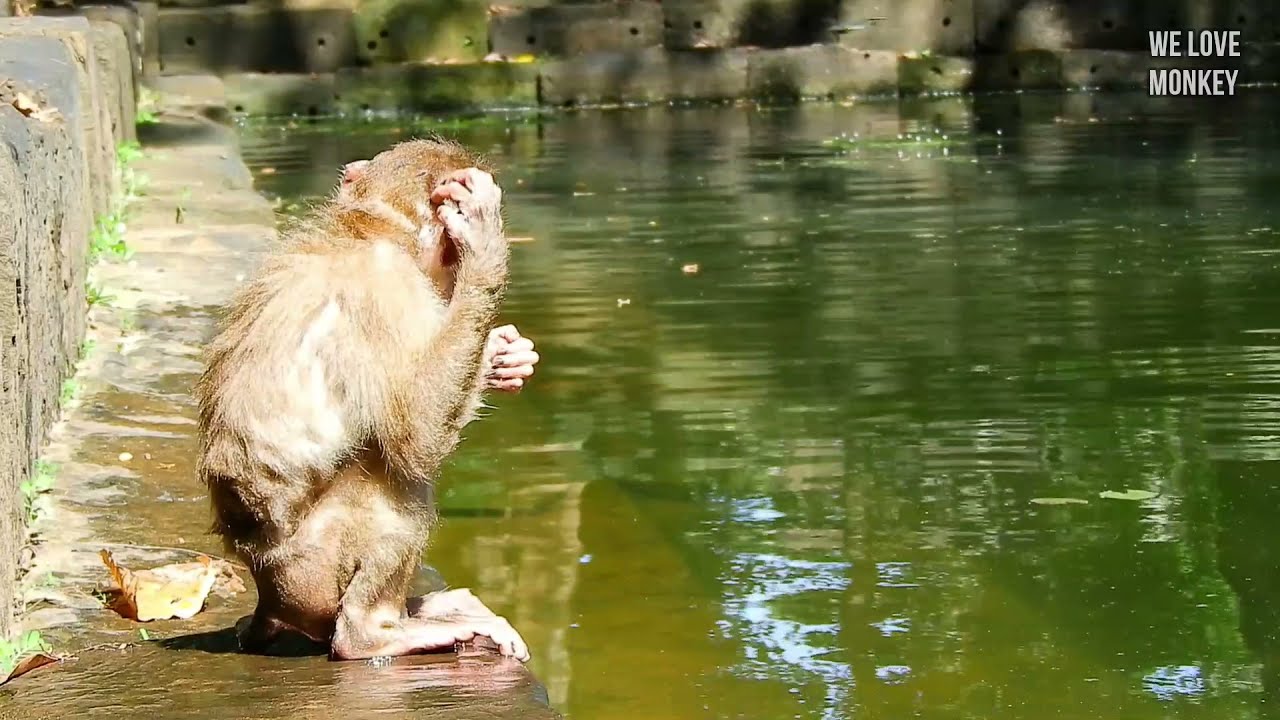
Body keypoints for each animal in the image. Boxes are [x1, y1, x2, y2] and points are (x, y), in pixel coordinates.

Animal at [194, 137, 538, 662]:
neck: (371, 230)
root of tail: (266, 593)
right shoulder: (391, 288)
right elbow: (415, 435)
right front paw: (485, 256)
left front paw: (506, 354)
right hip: (311, 572)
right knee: (394, 475)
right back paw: (372, 632)